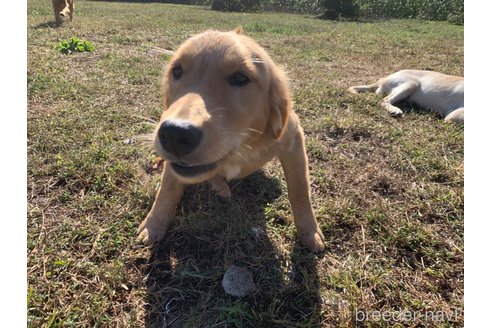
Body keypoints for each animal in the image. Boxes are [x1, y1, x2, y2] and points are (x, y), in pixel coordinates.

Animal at [136, 28, 324, 254]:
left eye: (240, 77)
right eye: (177, 71)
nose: (175, 134)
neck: (242, 146)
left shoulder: (293, 139)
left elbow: (300, 191)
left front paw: (309, 231)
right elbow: (168, 188)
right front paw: (154, 224)